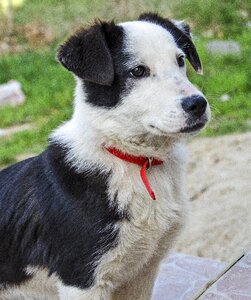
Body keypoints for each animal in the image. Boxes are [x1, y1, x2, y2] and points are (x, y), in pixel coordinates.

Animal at [0, 12, 210, 300]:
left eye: (180, 60)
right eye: (137, 71)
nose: (198, 104)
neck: (132, 160)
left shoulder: (141, 272)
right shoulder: (81, 280)